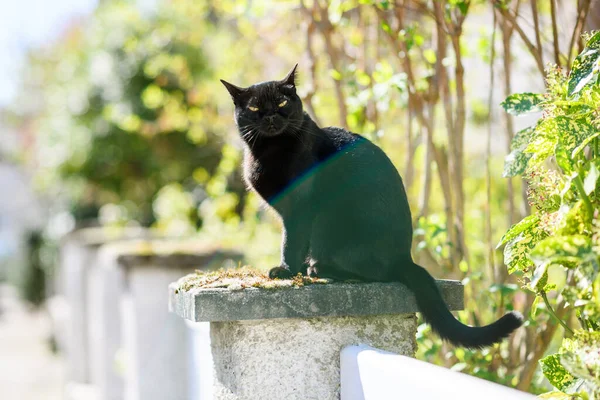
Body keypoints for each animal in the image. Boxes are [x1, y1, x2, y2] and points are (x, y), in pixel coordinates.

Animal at [220, 65, 520, 346]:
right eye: (255, 107)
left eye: (282, 103)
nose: (271, 116)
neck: (268, 153)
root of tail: (405, 257)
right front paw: (292, 271)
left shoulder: (300, 211)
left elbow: (290, 242)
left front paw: (285, 271)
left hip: (333, 220)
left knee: (375, 272)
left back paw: (320, 269)